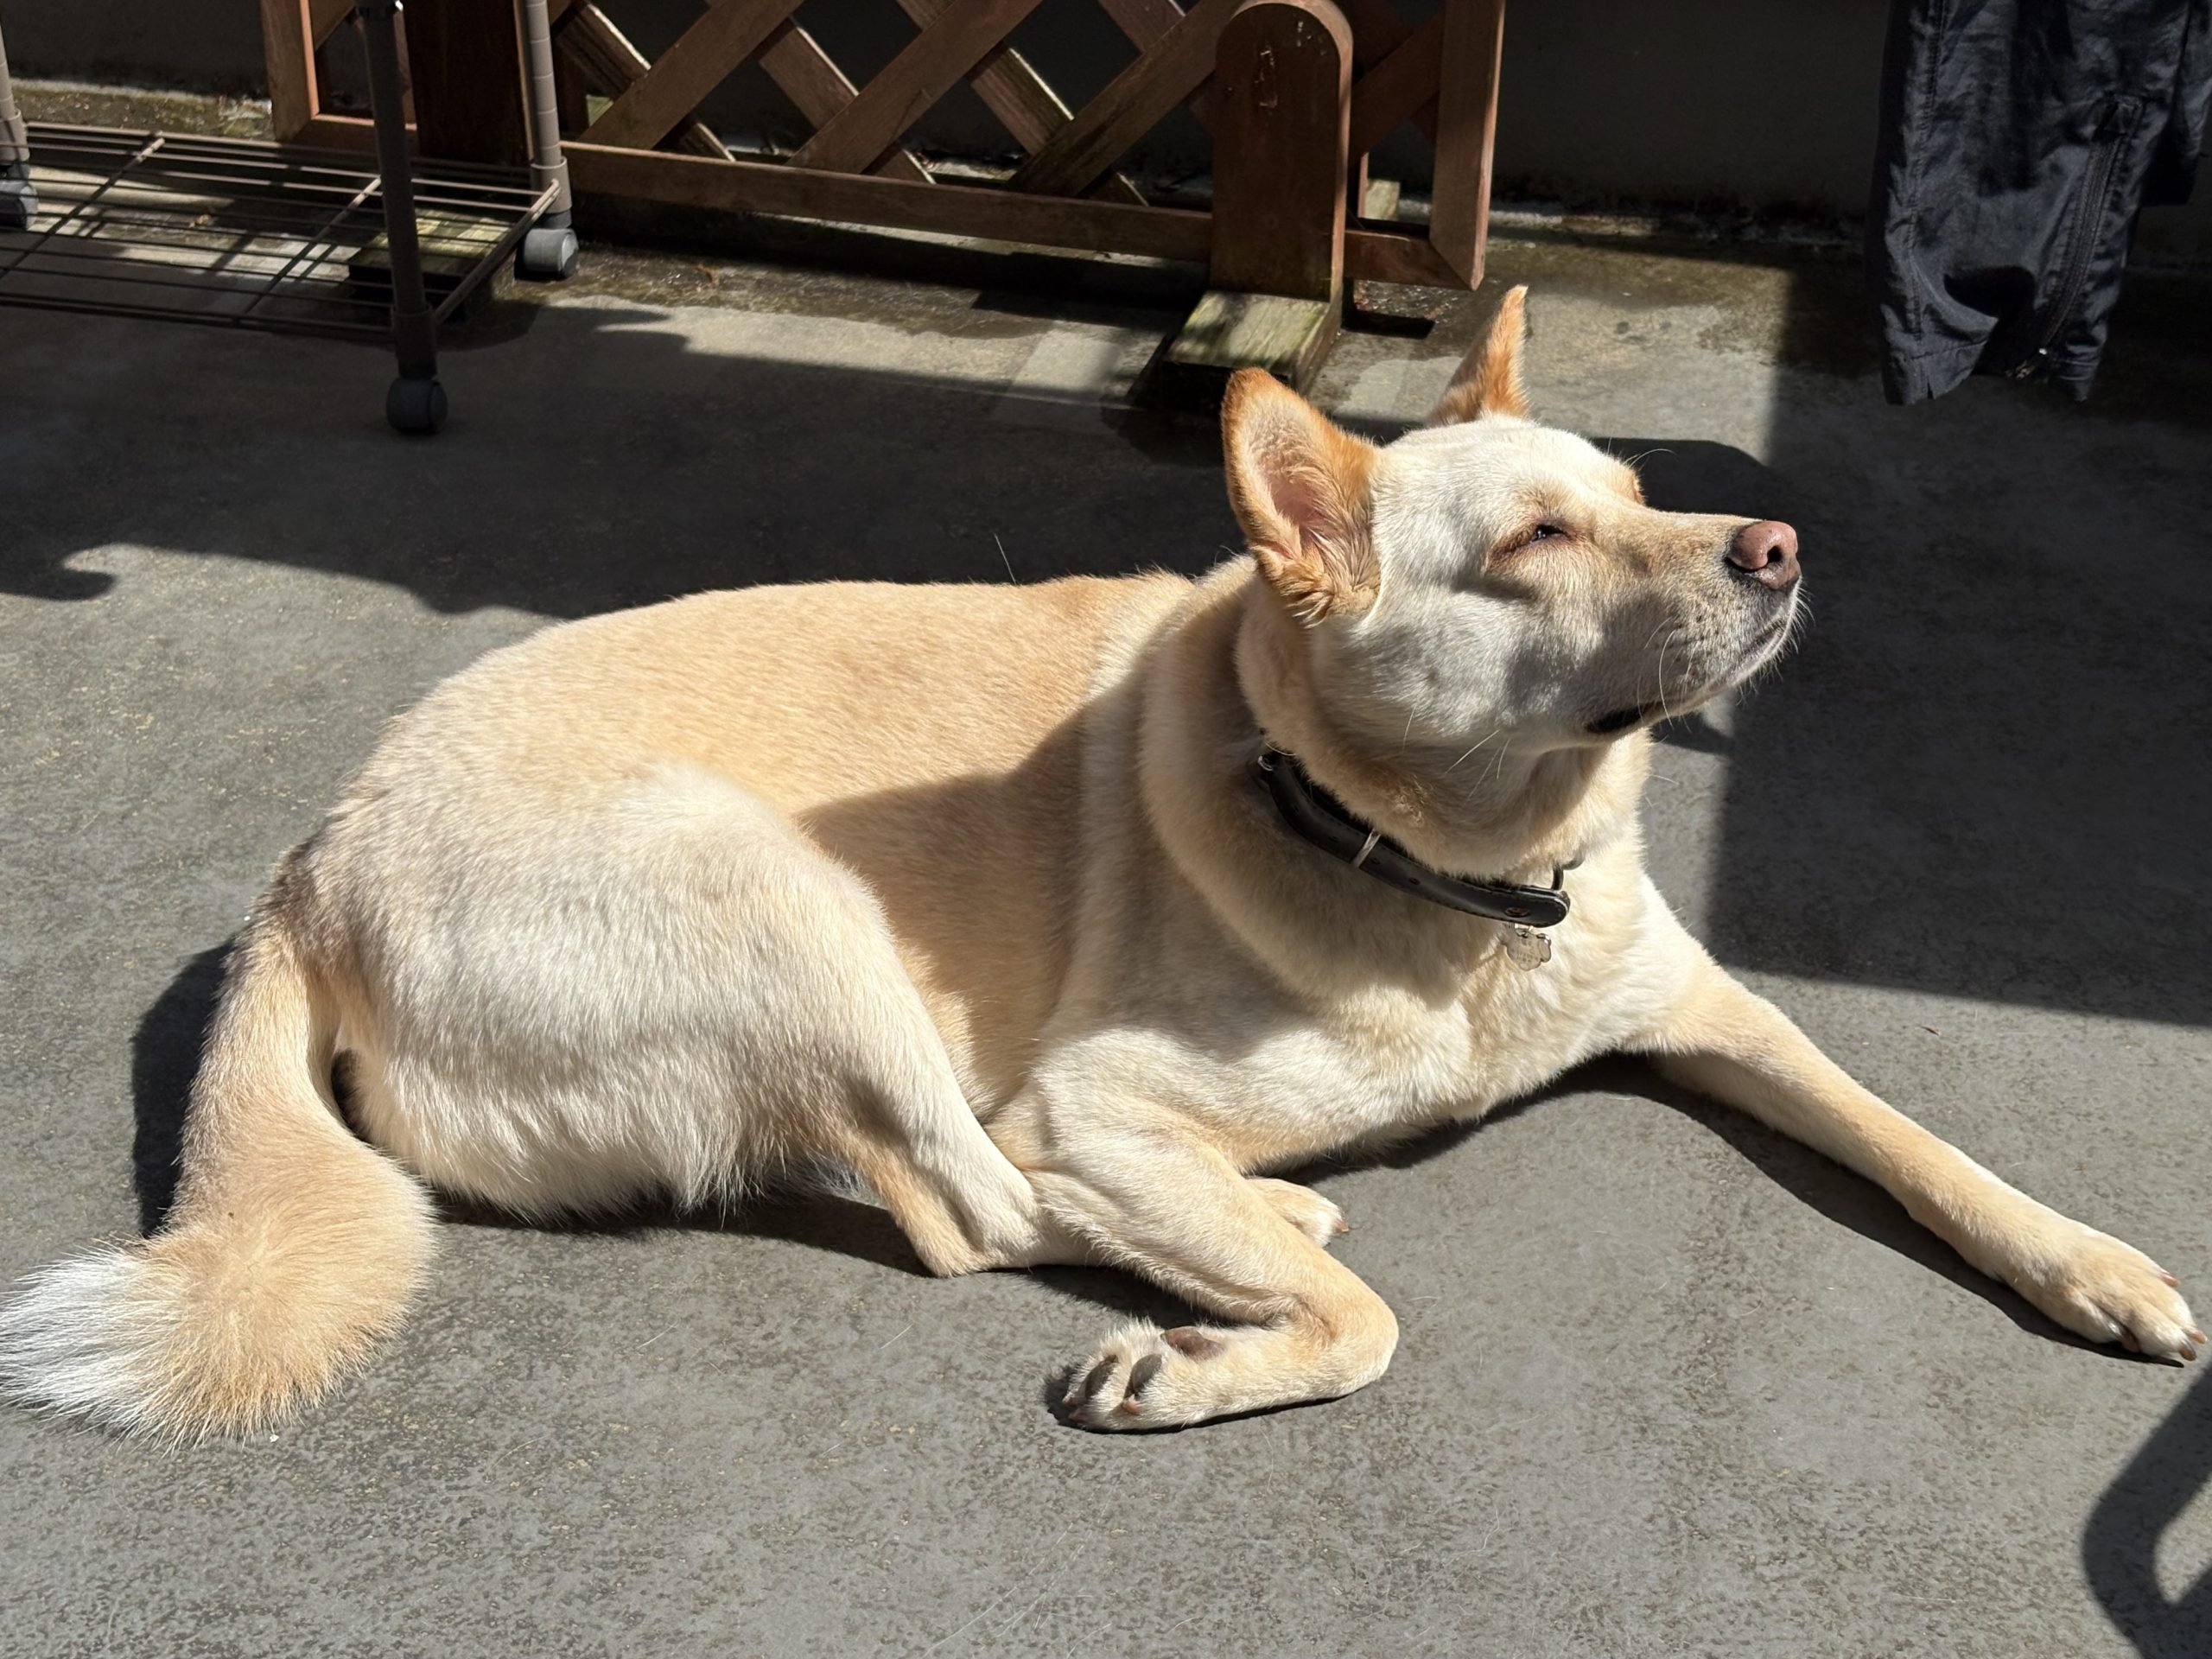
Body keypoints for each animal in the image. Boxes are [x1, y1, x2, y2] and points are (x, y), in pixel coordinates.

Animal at [2, 288, 2197, 1438]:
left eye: (1641, 492)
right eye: (1529, 547)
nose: (1778, 546)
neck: (1466, 892)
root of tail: (306, 871)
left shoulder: (1716, 1007)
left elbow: (1906, 1133)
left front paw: (2086, 1261)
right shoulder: (1109, 1097)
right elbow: (1348, 1314)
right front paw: (1217, 1338)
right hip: (789, 910)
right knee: (979, 1199)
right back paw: (1233, 1248)